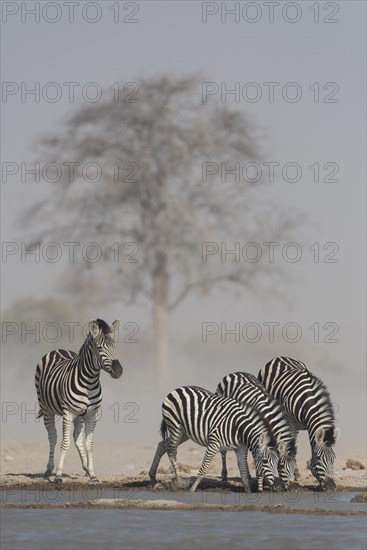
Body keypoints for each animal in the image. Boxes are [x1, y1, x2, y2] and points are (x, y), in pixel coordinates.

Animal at [35, 320, 123, 484]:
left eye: (115, 346)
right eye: (99, 348)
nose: (119, 371)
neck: (90, 381)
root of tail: (58, 349)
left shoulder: (91, 414)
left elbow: (88, 444)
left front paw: (92, 474)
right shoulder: (68, 413)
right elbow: (64, 443)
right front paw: (58, 475)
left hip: (79, 416)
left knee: (77, 438)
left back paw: (86, 468)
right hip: (46, 408)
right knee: (52, 437)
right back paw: (49, 469)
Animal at [148, 386, 278, 494]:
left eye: (277, 462)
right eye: (265, 461)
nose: (278, 486)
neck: (239, 429)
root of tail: (177, 389)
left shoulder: (241, 449)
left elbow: (244, 472)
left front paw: (248, 492)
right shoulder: (214, 444)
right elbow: (203, 468)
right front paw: (192, 489)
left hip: (185, 433)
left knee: (162, 445)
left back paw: (153, 477)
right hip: (176, 427)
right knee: (172, 451)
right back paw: (179, 483)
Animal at [258, 358, 340, 492]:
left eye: (334, 458)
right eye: (318, 458)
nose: (331, 487)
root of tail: (279, 357)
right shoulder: (289, 423)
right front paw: (286, 480)